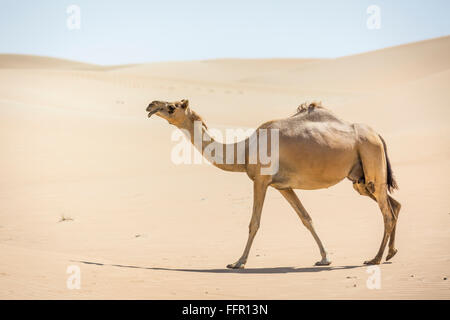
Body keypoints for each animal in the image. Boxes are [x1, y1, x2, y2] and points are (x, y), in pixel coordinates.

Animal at [147, 99, 400, 268]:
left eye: (172, 106)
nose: (151, 105)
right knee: (394, 204)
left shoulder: (261, 180)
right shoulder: (283, 186)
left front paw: (238, 262)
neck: (243, 151)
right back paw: (390, 253)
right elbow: (306, 218)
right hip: (360, 179)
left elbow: (254, 222)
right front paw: (324, 258)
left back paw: (375, 258)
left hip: (371, 160)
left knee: (386, 212)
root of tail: (377, 135)